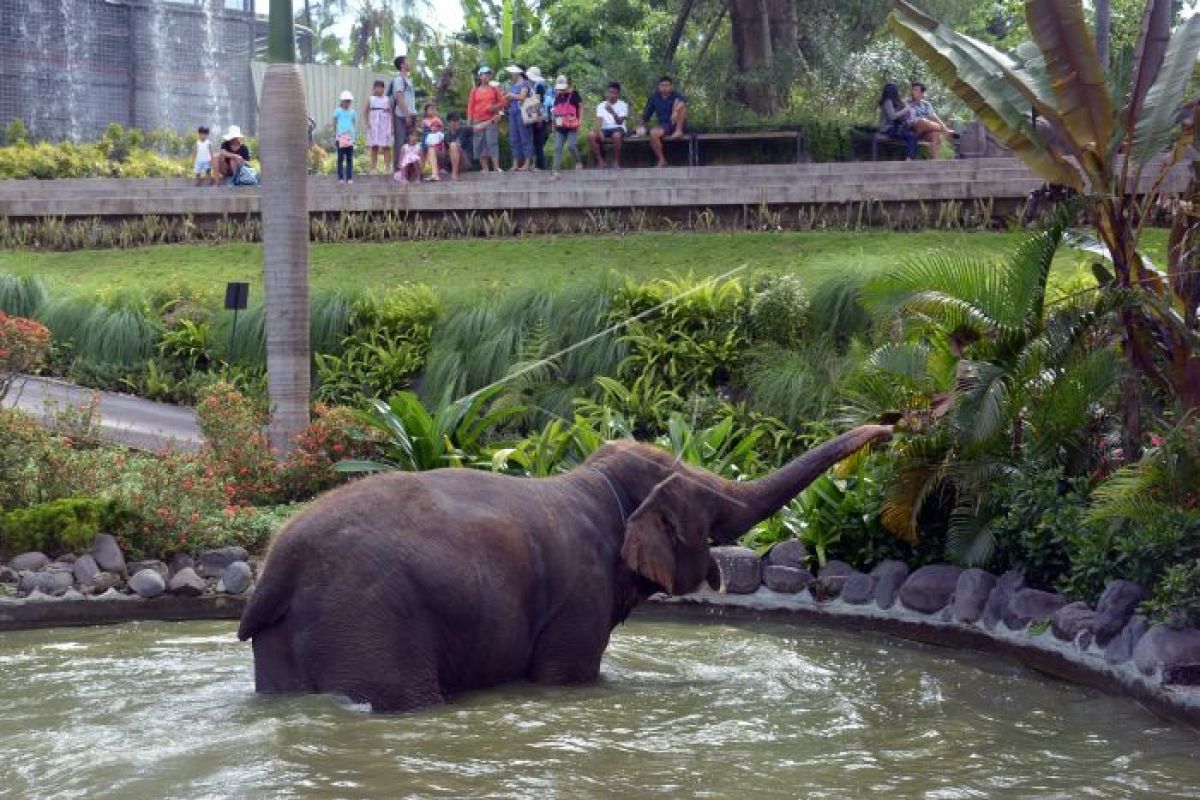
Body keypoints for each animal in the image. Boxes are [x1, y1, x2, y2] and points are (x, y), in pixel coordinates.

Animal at [236, 424, 892, 714]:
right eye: (713, 511)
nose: (892, 425)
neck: (592, 479)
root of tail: (277, 567)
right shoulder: (580, 595)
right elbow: (565, 676)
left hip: (287, 640)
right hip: (371, 622)